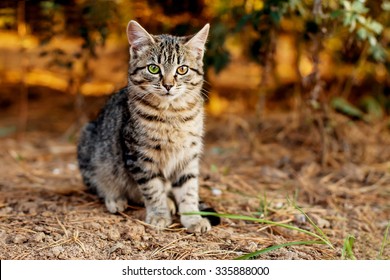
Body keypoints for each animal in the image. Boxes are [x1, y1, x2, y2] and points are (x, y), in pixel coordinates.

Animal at [78, 20, 212, 233]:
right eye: (153, 69)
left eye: (182, 69)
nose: (168, 85)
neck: (172, 114)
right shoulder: (140, 156)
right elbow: (152, 189)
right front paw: (159, 214)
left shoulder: (188, 155)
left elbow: (189, 189)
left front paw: (193, 218)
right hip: (89, 143)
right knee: (102, 183)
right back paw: (115, 198)